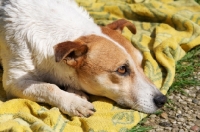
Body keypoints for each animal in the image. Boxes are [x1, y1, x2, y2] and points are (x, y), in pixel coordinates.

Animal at [0, 0, 166, 117]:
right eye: (122, 69)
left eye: (141, 63)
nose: (162, 100)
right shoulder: (13, 82)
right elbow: (48, 86)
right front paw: (74, 103)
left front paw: (76, 92)